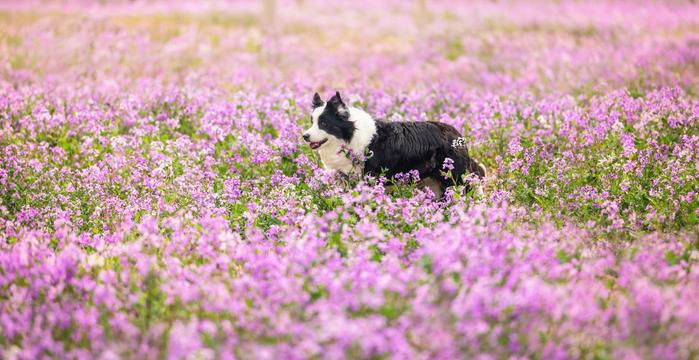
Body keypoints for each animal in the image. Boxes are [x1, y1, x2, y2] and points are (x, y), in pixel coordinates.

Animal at [300, 90, 486, 197]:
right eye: (312, 121)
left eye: (323, 123)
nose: (305, 136)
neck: (349, 137)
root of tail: (456, 133)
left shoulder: (370, 177)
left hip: (455, 175)